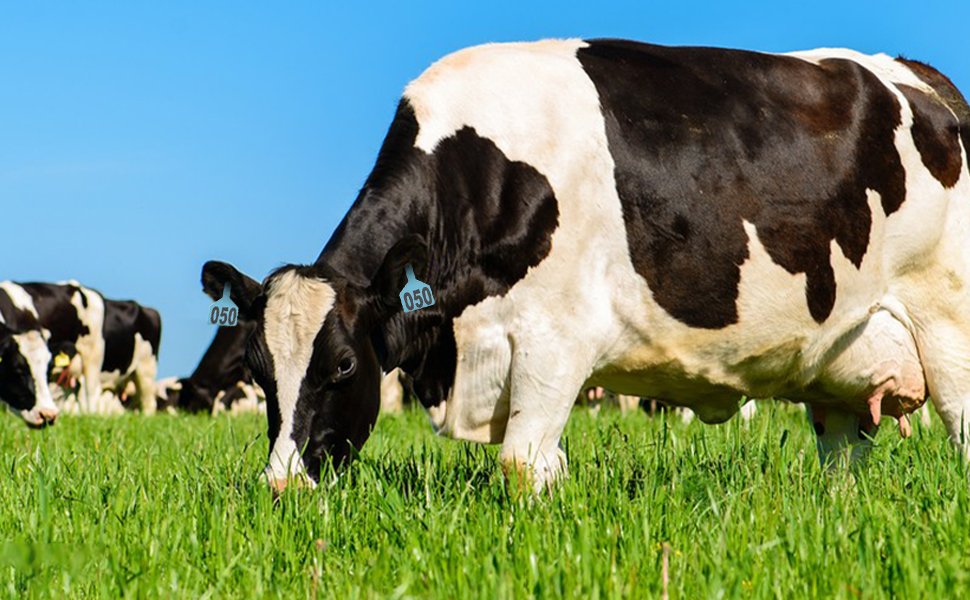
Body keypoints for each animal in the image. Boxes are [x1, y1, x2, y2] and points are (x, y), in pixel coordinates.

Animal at [201, 39, 970, 492]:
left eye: (343, 366)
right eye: (259, 371)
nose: (281, 483)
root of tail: (917, 76)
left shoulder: (556, 337)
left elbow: (520, 465)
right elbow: (543, 466)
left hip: (948, 319)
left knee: (960, 424)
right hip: (839, 355)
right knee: (842, 457)